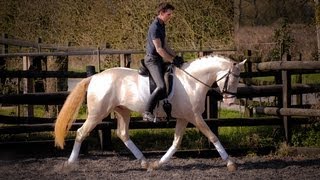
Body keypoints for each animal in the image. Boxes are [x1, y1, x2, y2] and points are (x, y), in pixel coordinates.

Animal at [53, 54, 246, 172]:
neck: (191, 81)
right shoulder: (195, 117)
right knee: (81, 132)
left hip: (123, 111)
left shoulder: (184, 118)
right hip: (97, 113)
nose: (230, 101)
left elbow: (176, 143)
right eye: (232, 78)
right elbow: (212, 136)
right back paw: (69, 164)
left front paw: (158, 163)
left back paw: (145, 162)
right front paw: (230, 163)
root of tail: (95, 77)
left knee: (123, 134)